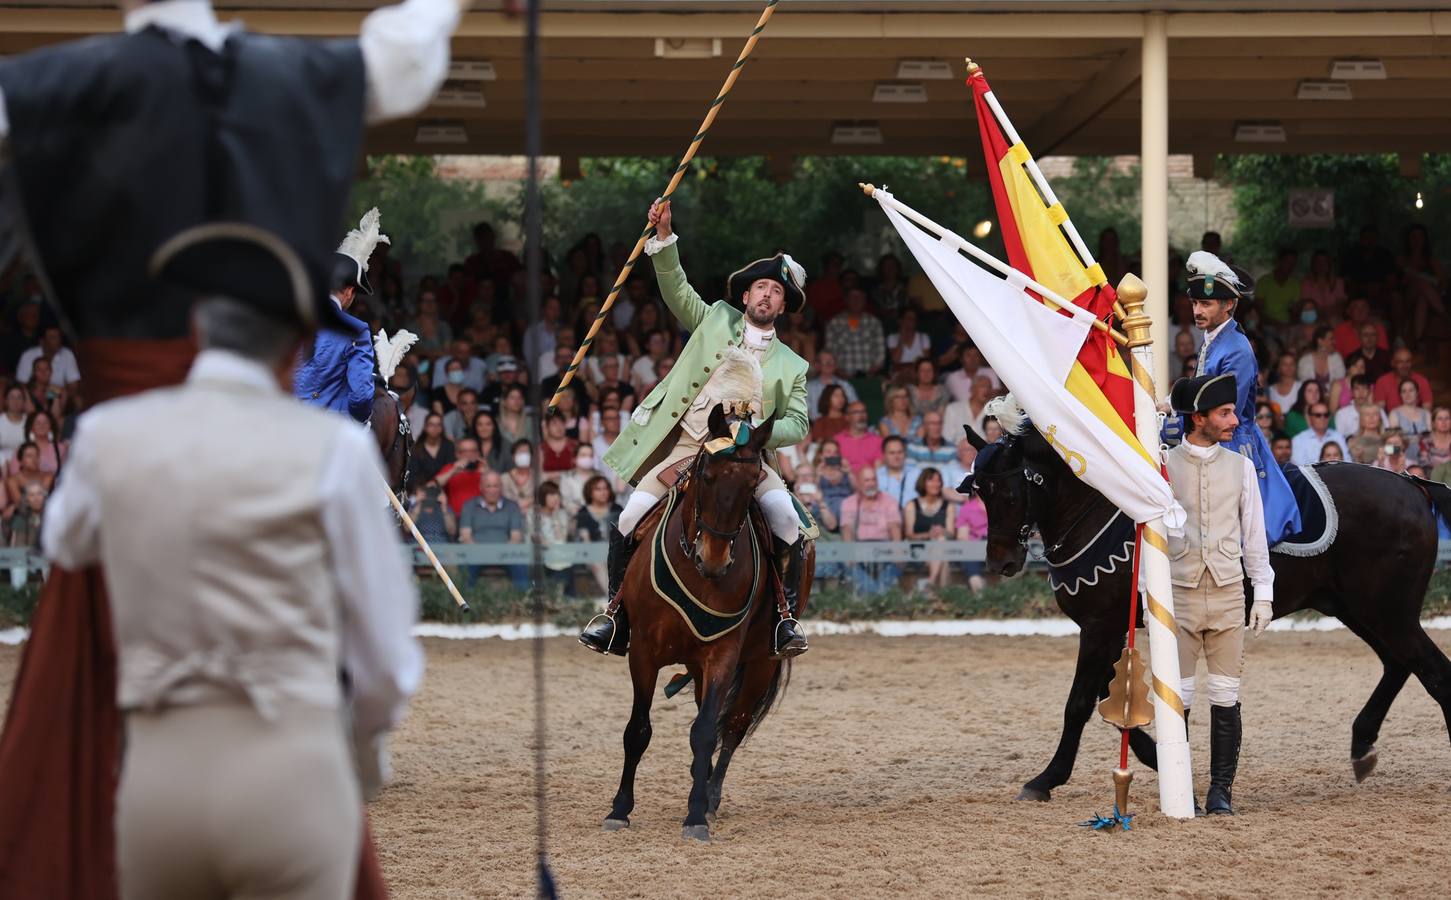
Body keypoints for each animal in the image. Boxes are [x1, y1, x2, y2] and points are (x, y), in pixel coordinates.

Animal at [597, 406, 812, 841]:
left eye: (751, 483)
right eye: (706, 474)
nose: (713, 560)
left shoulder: (722, 655)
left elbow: (705, 732)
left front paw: (696, 814)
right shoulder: (643, 652)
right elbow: (637, 730)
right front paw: (620, 809)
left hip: (759, 664)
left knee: (732, 727)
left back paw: (710, 797)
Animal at [969, 400, 1451, 801]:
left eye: (1009, 492)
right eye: (979, 492)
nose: (1000, 562)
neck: (1101, 504)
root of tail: (1412, 484)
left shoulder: (1101, 626)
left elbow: (1079, 703)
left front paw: (1046, 779)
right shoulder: (1106, 628)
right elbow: (1106, 700)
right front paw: (1158, 755)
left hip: (1387, 613)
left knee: (1433, 672)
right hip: (1359, 610)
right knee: (1399, 665)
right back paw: (1362, 743)